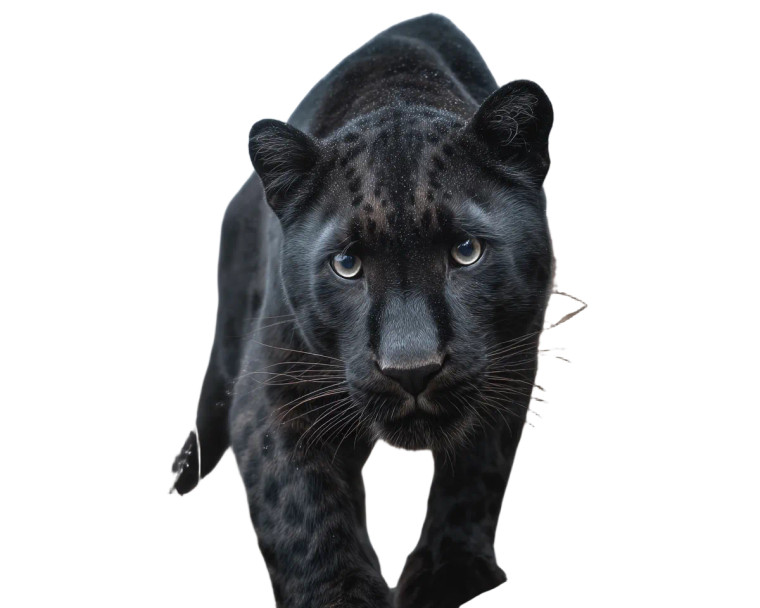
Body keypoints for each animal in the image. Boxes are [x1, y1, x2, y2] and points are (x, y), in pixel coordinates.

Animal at [171, 13, 554, 608]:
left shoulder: (512, 360)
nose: (412, 369)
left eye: (466, 251)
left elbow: (476, 473)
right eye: (347, 264)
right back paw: (181, 475)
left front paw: (446, 575)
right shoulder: (274, 392)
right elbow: (306, 516)